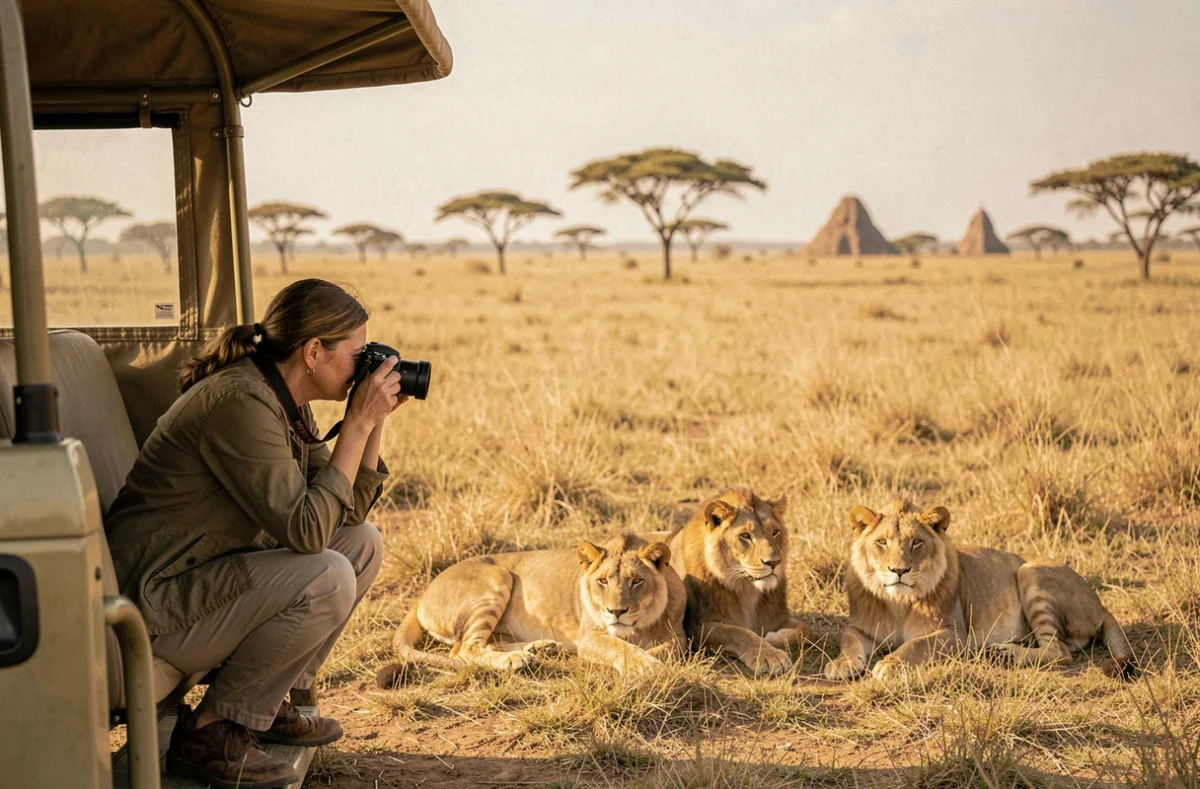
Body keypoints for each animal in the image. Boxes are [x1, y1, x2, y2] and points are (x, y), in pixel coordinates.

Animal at [375, 532, 686, 686]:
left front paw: (649, 658)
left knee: (487, 643)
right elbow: (621, 648)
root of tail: (422, 593)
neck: (638, 625)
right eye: (602, 581)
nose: (616, 611)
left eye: (636, 581)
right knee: (464, 650)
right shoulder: (588, 637)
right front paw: (644, 666)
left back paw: (540, 649)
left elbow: (669, 650)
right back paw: (517, 660)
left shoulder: (679, 637)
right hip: (498, 576)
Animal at [666, 486, 809, 676]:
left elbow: (805, 630)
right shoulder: (695, 628)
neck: (748, 589)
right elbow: (738, 632)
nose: (774, 563)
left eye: (775, 532)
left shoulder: (778, 619)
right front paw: (771, 656)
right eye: (745, 535)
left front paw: (772, 638)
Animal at [824, 500, 1136, 681]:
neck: (898, 602)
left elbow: (916, 644)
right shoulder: (860, 626)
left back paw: (1006, 654)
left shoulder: (955, 634)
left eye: (916, 542)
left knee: (1059, 651)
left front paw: (890, 664)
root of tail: (1100, 602)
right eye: (882, 542)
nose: (899, 570)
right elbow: (848, 640)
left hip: (1029, 571)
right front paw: (840, 665)